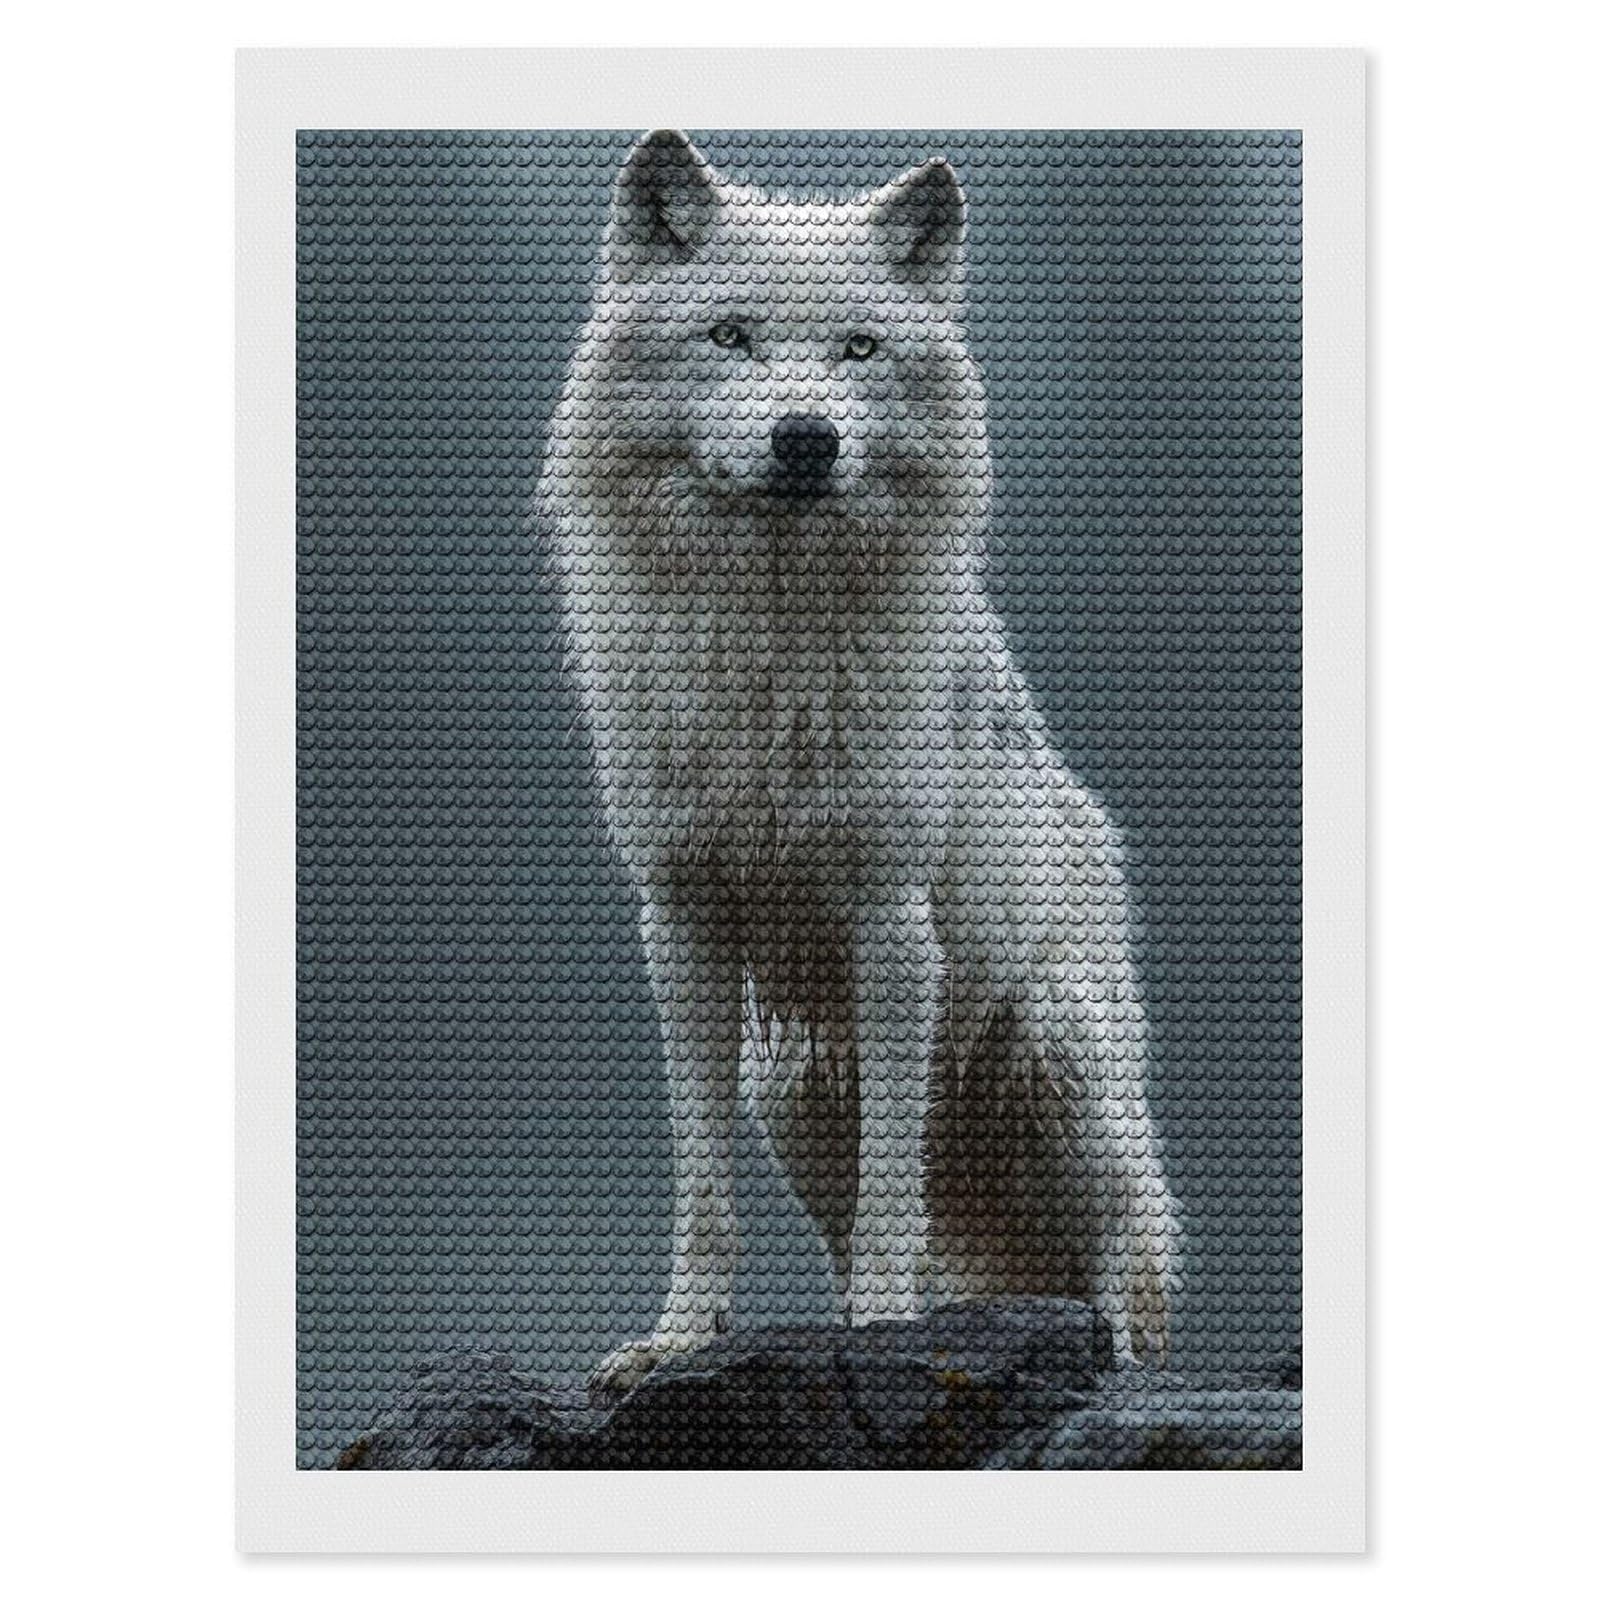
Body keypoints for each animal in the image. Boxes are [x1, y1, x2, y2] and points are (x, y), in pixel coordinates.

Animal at [538, 130, 1178, 1391]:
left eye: (858, 347)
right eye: (730, 335)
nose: (805, 436)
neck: (767, 642)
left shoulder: (890, 926)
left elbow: (893, 1190)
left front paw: (885, 1333)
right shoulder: (681, 923)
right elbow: (704, 1186)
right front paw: (680, 1339)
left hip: (1054, 1056)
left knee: (1124, 1259)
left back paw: (1115, 1367)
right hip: (794, 1081)